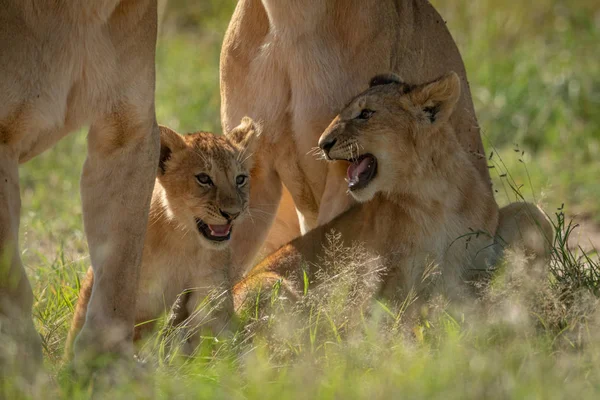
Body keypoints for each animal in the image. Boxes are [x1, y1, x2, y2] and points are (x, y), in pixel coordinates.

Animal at [65, 117, 258, 358]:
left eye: (240, 179)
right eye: (204, 178)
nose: (233, 213)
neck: (183, 239)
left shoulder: (210, 290)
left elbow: (214, 335)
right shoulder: (139, 297)